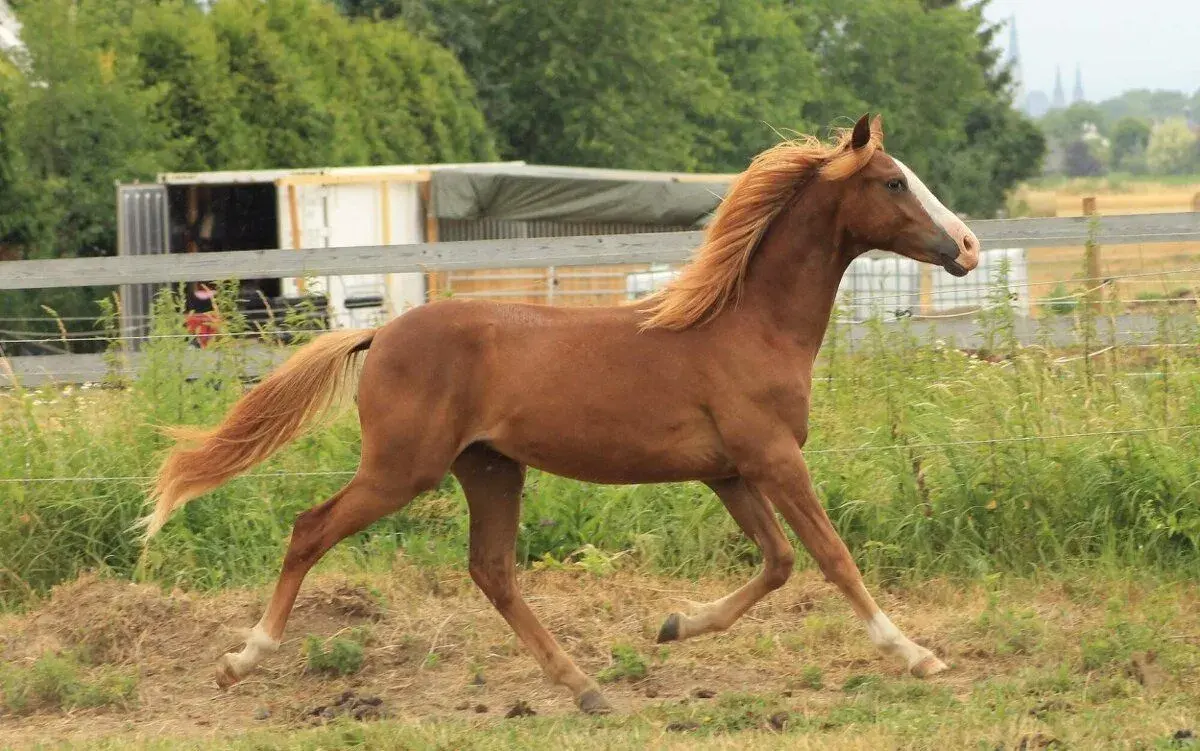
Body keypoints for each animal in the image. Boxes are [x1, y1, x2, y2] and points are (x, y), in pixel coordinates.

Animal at [141, 113, 979, 715]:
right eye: (894, 181)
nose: (968, 245)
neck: (747, 323)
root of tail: (381, 333)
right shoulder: (772, 457)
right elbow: (832, 556)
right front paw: (918, 654)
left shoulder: (731, 472)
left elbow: (777, 562)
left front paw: (673, 625)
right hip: (401, 470)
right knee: (311, 529)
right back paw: (242, 660)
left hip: (489, 469)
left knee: (492, 570)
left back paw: (586, 687)